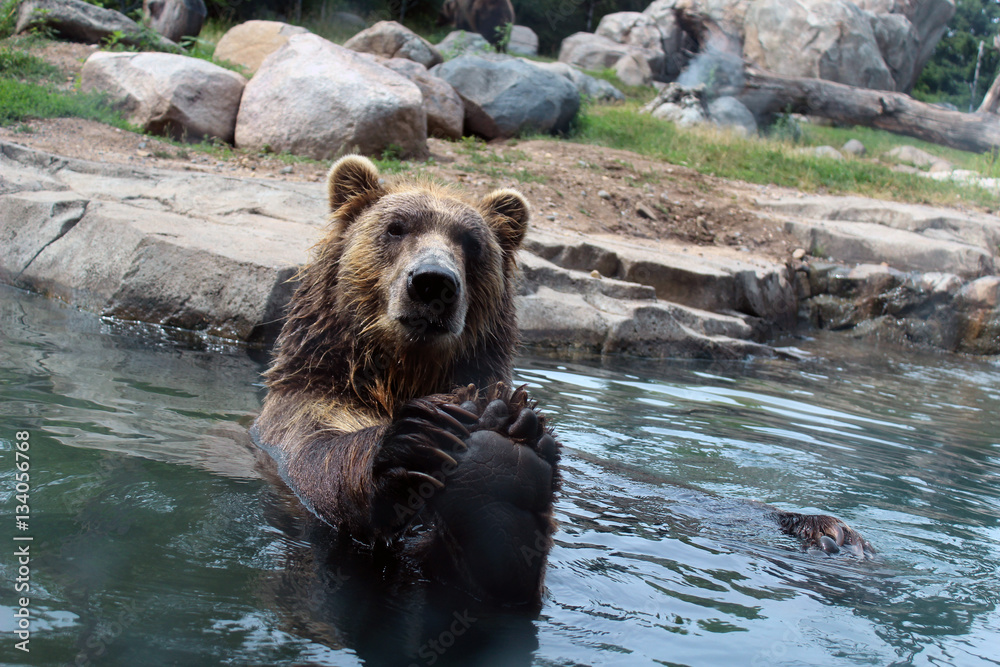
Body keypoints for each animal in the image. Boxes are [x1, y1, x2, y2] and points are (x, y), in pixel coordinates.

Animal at [252, 154, 560, 607]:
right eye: (396, 227)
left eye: (472, 242)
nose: (433, 282)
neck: (404, 372)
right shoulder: (309, 404)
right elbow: (317, 452)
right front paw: (428, 441)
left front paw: (505, 430)